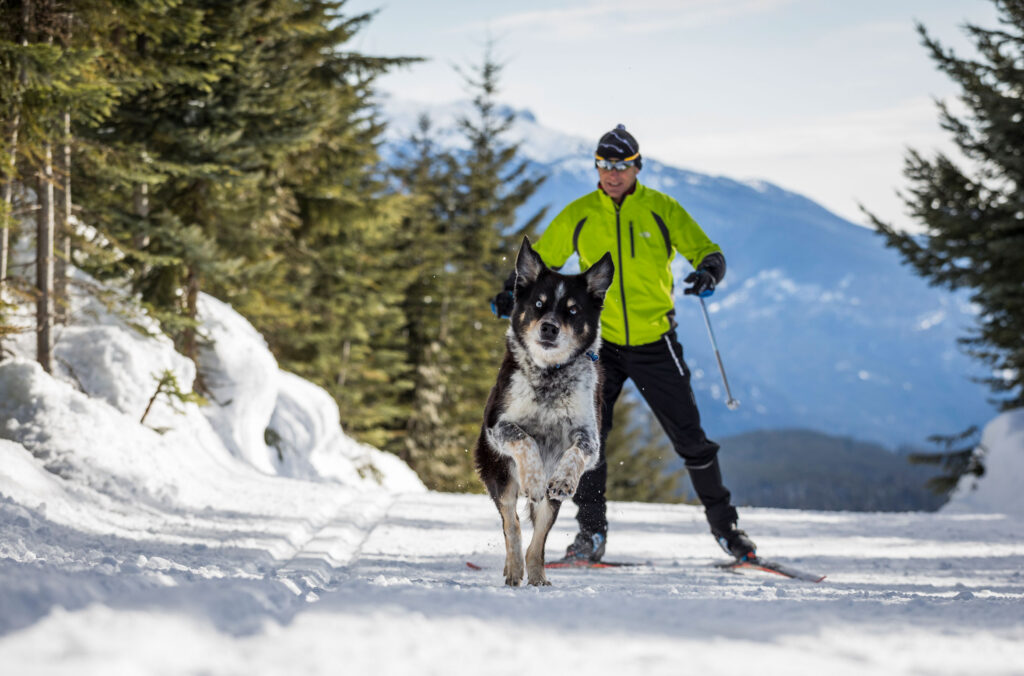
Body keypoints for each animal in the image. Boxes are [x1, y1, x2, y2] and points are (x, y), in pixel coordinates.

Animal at [473, 237, 610, 585]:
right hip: (501, 477)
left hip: (550, 504)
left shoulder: (590, 436)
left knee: (538, 539)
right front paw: (533, 479)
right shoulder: (498, 426)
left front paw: (562, 478)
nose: (549, 328)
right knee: (512, 525)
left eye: (573, 309)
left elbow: (578, 451)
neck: (549, 375)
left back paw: (536, 575)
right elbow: (525, 439)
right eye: (538, 304)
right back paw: (513, 569)